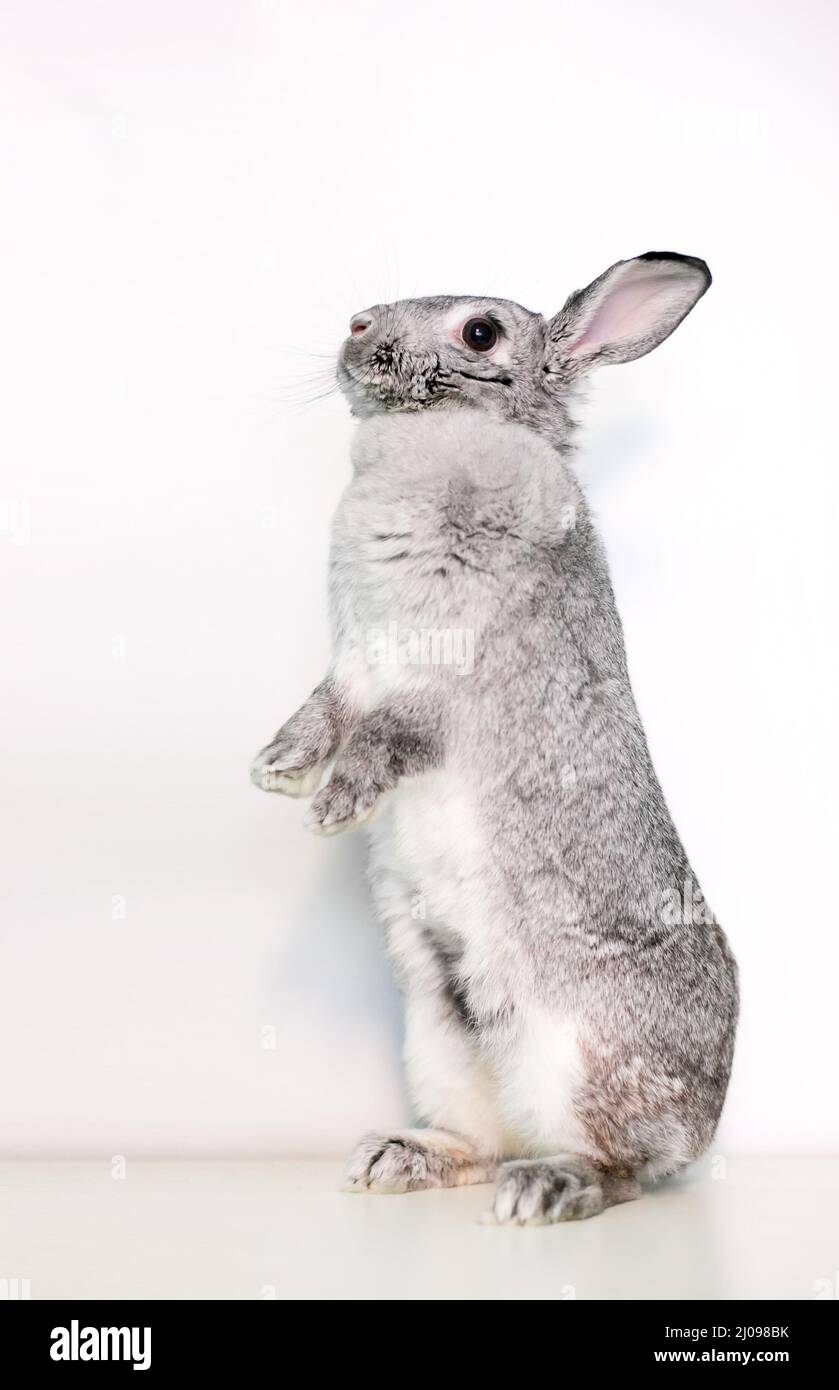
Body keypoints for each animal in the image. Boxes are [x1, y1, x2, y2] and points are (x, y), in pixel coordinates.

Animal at [251, 252, 738, 1225]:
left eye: (479, 332)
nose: (358, 325)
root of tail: (704, 1123)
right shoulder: (353, 661)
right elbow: (325, 710)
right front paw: (275, 771)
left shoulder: (445, 679)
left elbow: (386, 738)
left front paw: (330, 808)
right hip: (438, 1040)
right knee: (482, 1142)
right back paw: (397, 1159)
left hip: (578, 1058)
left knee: (621, 1170)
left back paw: (545, 1190)